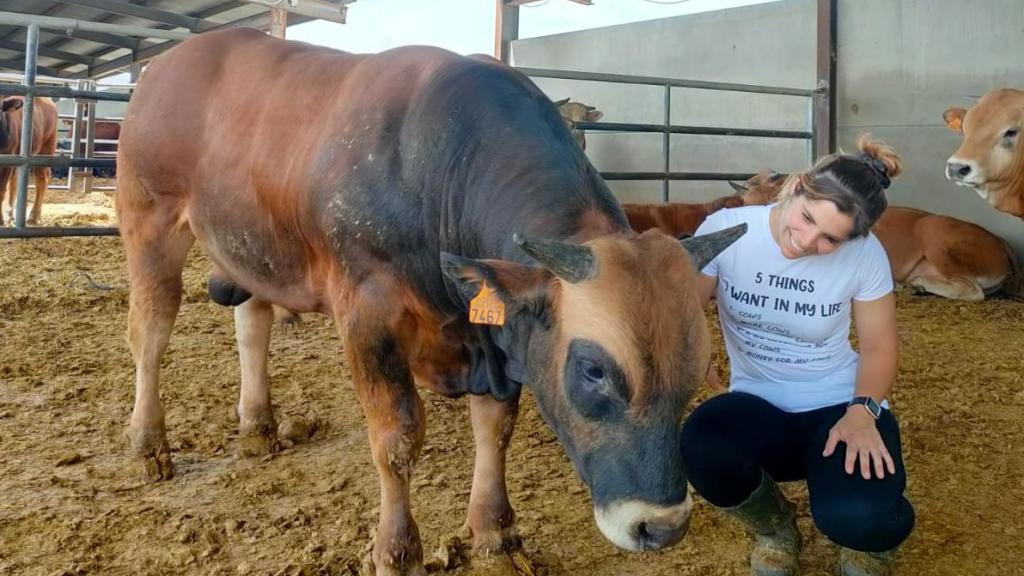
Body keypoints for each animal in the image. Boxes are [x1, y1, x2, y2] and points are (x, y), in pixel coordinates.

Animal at [0, 95, 58, 223]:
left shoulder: (6, 162)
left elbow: (1, 189)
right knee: (14, 180)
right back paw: (9, 212)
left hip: (45, 149)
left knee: (41, 179)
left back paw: (34, 215)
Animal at [117, 29, 745, 569]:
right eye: (592, 369)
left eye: (697, 369)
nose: (660, 526)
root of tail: (170, 60)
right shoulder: (366, 313)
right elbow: (397, 439)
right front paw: (396, 552)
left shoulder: (491, 332)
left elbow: (496, 428)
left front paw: (496, 532)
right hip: (148, 218)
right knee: (150, 331)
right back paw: (148, 445)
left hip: (249, 246)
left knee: (252, 323)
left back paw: (257, 426)